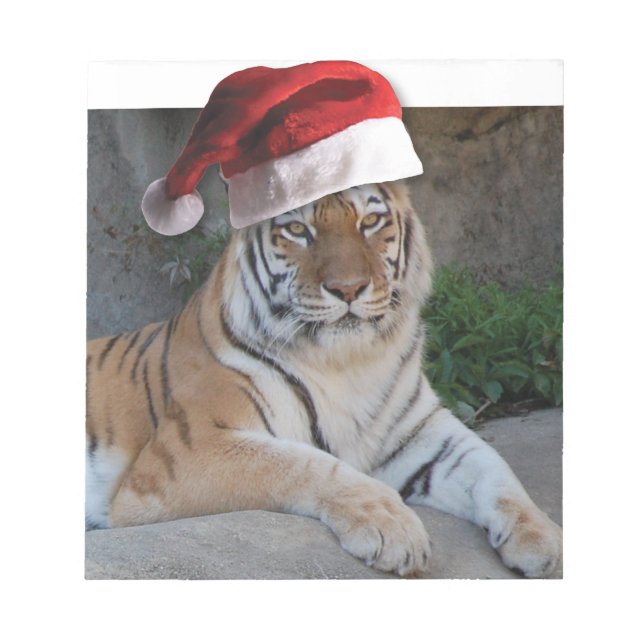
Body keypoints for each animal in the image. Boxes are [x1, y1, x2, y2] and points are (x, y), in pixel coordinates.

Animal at [86, 181, 562, 578]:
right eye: (298, 229)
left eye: (369, 222)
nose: (348, 288)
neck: (348, 362)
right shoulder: (186, 452)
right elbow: (304, 463)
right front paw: (394, 529)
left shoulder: (424, 433)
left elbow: (495, 469)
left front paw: (544, 539)